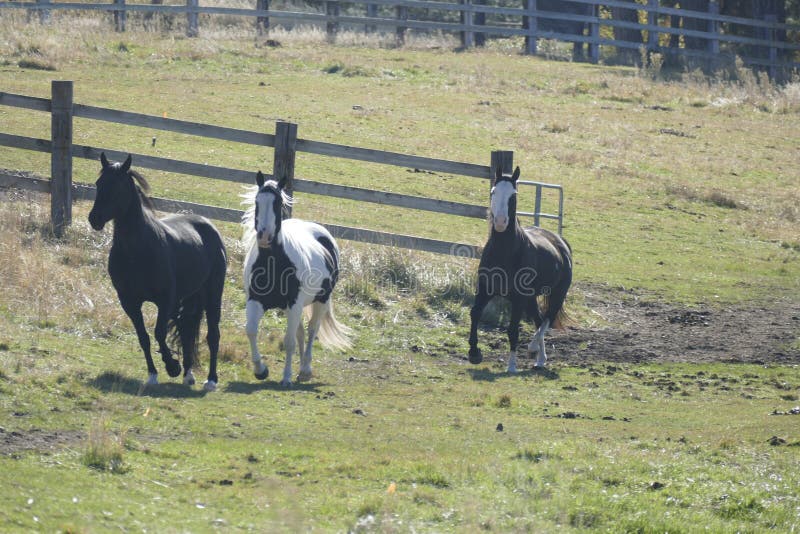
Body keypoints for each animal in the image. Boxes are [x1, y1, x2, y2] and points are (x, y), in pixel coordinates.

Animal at [88, 153, 228, 392]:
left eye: (118, 187)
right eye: (99, 183)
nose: (94, 219)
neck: (137, 251)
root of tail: (208, 226)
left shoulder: (165, 300)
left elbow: (159, 333)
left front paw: (172, 366)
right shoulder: (130, 302)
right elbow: (144, 337)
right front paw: (154, 374)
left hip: (212, 295)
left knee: (212, 335)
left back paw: (210, 380)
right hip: (188, 298)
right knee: (186, 330)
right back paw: (188, 374)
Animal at [244, 174, 350, 388]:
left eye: (278, 203)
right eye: (257, 201)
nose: (264, 237)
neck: (273, 262)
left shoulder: (294, 304)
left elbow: (289, 341)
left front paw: (286, 378)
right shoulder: (255, 300)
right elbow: (251, 331)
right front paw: (261, 370)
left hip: (321, 301)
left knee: (311, 330)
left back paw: (305, 369)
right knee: (301, 332)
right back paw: (301, 371)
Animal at [466, 166, 572, 372]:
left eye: (513, 195)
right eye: (493, 192)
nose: (500, 222)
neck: (504, 252)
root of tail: (560, 242)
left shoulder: (518, 298)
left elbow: (513, 329)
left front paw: (512, 366)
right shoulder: (485, 289)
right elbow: (475, 313)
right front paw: (474, 353)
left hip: (557, 294)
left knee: (546, 320)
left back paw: (533, 349)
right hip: (531, 299)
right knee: (539, 320)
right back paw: (540, 360)